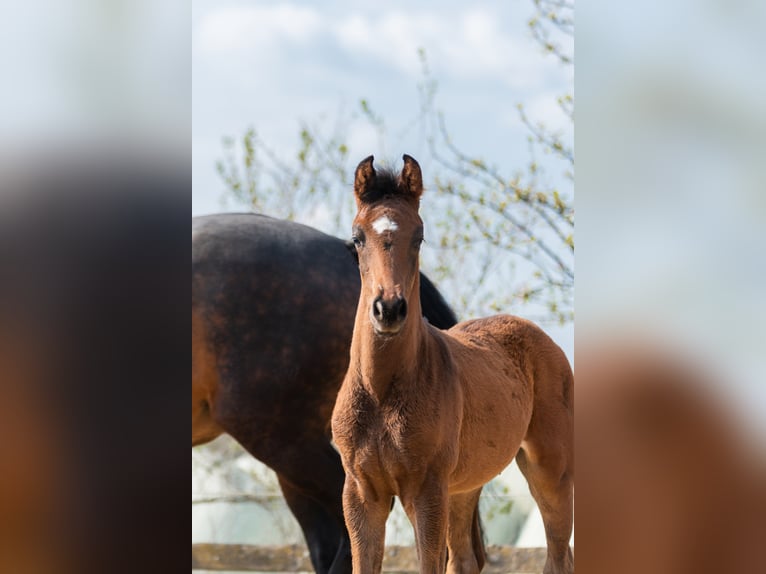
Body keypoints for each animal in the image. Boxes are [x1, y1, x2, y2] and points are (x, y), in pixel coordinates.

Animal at [332, 154, 576, 574]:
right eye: (357, 239)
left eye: (419, 237)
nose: (389, 309)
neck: (382, 391)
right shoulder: (361, 493)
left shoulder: (427, 490)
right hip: (465, 485)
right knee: (466, 560)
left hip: (550, 470)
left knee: (558, 557)